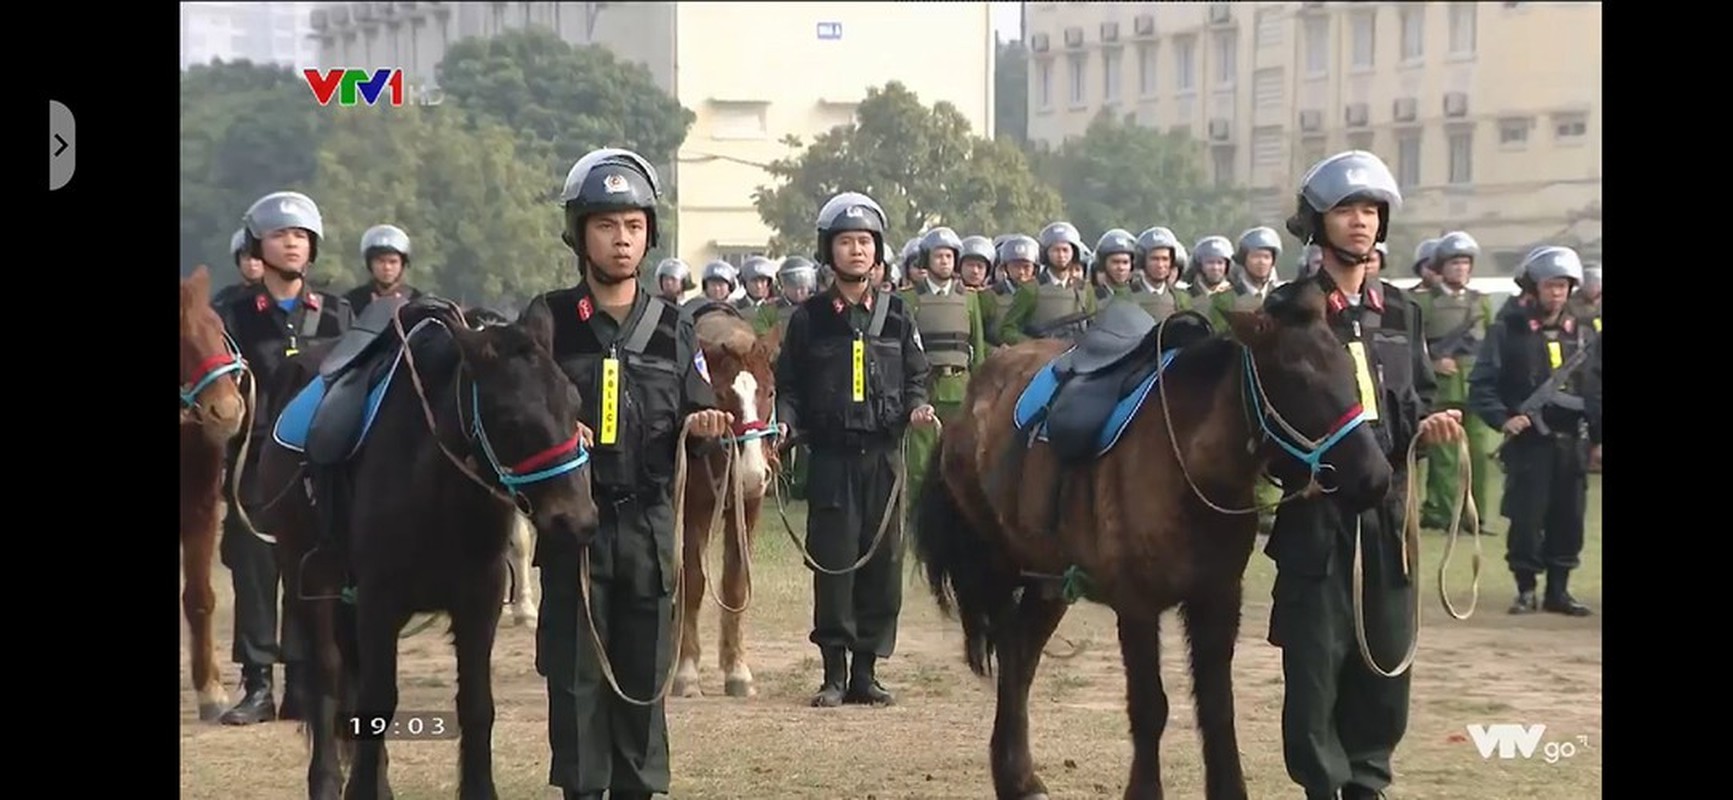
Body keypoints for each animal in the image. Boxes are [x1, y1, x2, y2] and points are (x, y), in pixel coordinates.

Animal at [247, 299, 603, 800]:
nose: (578, 520)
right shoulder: (379, 602)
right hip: (310, 581)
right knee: (328, 677)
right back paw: (327, 781)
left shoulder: (479, 602)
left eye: (573, 402)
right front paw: (359, 789)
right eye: (509, 417)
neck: (436, 488)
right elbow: (377, 702)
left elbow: (475, 703)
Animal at [672, 309, 783, 696]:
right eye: (720, 396)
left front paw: (737, 670)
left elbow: (735, 584)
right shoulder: (693, 507)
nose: (750, 473)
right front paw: (686, 671)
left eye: (770, 391)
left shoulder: (748, 505)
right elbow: (692, 581)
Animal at [921, 287, 1393, 800]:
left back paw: (1020, 778)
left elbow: (1217, 706)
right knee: (1012, 654)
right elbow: (1150, 707)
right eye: (1299, 378)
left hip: (1049, 583)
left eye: (1349, 369)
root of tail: (971, 400)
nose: (1375, 478)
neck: (1187, 462)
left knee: (1019, 654)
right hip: (1000, 567)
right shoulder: (1137, 605)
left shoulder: (1217, 600)